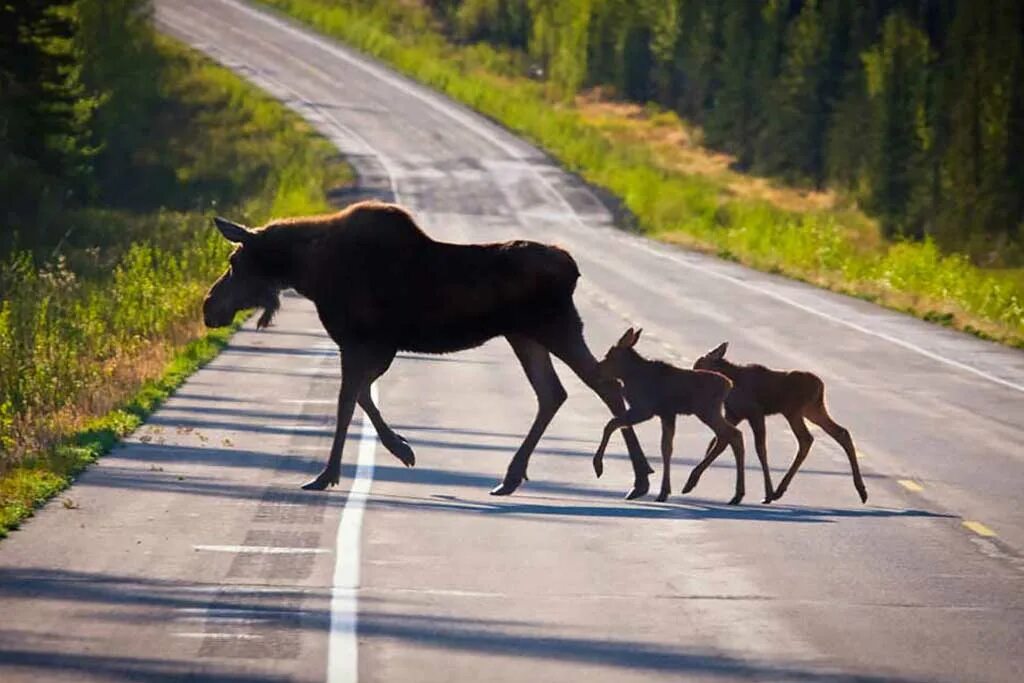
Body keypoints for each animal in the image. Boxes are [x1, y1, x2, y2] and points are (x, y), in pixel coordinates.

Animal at [200, 200, 651, 499]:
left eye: (235, 261)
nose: (208, 306)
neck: (307, 273)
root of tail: (574, 268)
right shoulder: (374, 346)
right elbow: (360, 397)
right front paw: (401, 448)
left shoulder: (365, 342)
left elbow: (348, 402)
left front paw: (329, 473)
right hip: (525, 335)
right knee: (553, 393)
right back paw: (512, 476)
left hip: (555, 327)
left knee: (604, 386)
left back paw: (641, 478)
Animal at [589, 327, 749, 505]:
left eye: (609, 355)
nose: (595, 371)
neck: (629, 376)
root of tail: (729, 384)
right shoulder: (666, 414)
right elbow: (666, 448)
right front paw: (664, 491)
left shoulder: (645, 409)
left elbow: (612, 424)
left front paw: (598, 465)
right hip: (709, 411)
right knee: (727, 437)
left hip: (707, 410)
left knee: (733, 435)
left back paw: (730, 492)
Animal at [692, 344, 868, 505]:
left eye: (699, 364)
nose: (693, 374)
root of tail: (821, 386)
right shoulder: (734, 414)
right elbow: (717, 441)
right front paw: (695, 480)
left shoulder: (755, 412)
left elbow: (759, 449)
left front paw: (766, 493)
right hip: (813, 410)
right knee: (840, 432)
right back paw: (861, 490)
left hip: (794, 411)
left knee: (806, 439)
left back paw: (778, 491)